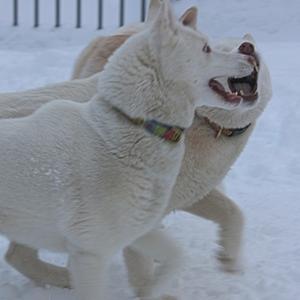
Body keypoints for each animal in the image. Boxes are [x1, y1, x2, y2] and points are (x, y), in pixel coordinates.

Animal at [0, 1, 253, 298]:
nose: (249, 54)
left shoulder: (137, 231)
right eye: (206, 48)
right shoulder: (91, 252)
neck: (137, 125)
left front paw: (153, 290)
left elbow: (176, 256)